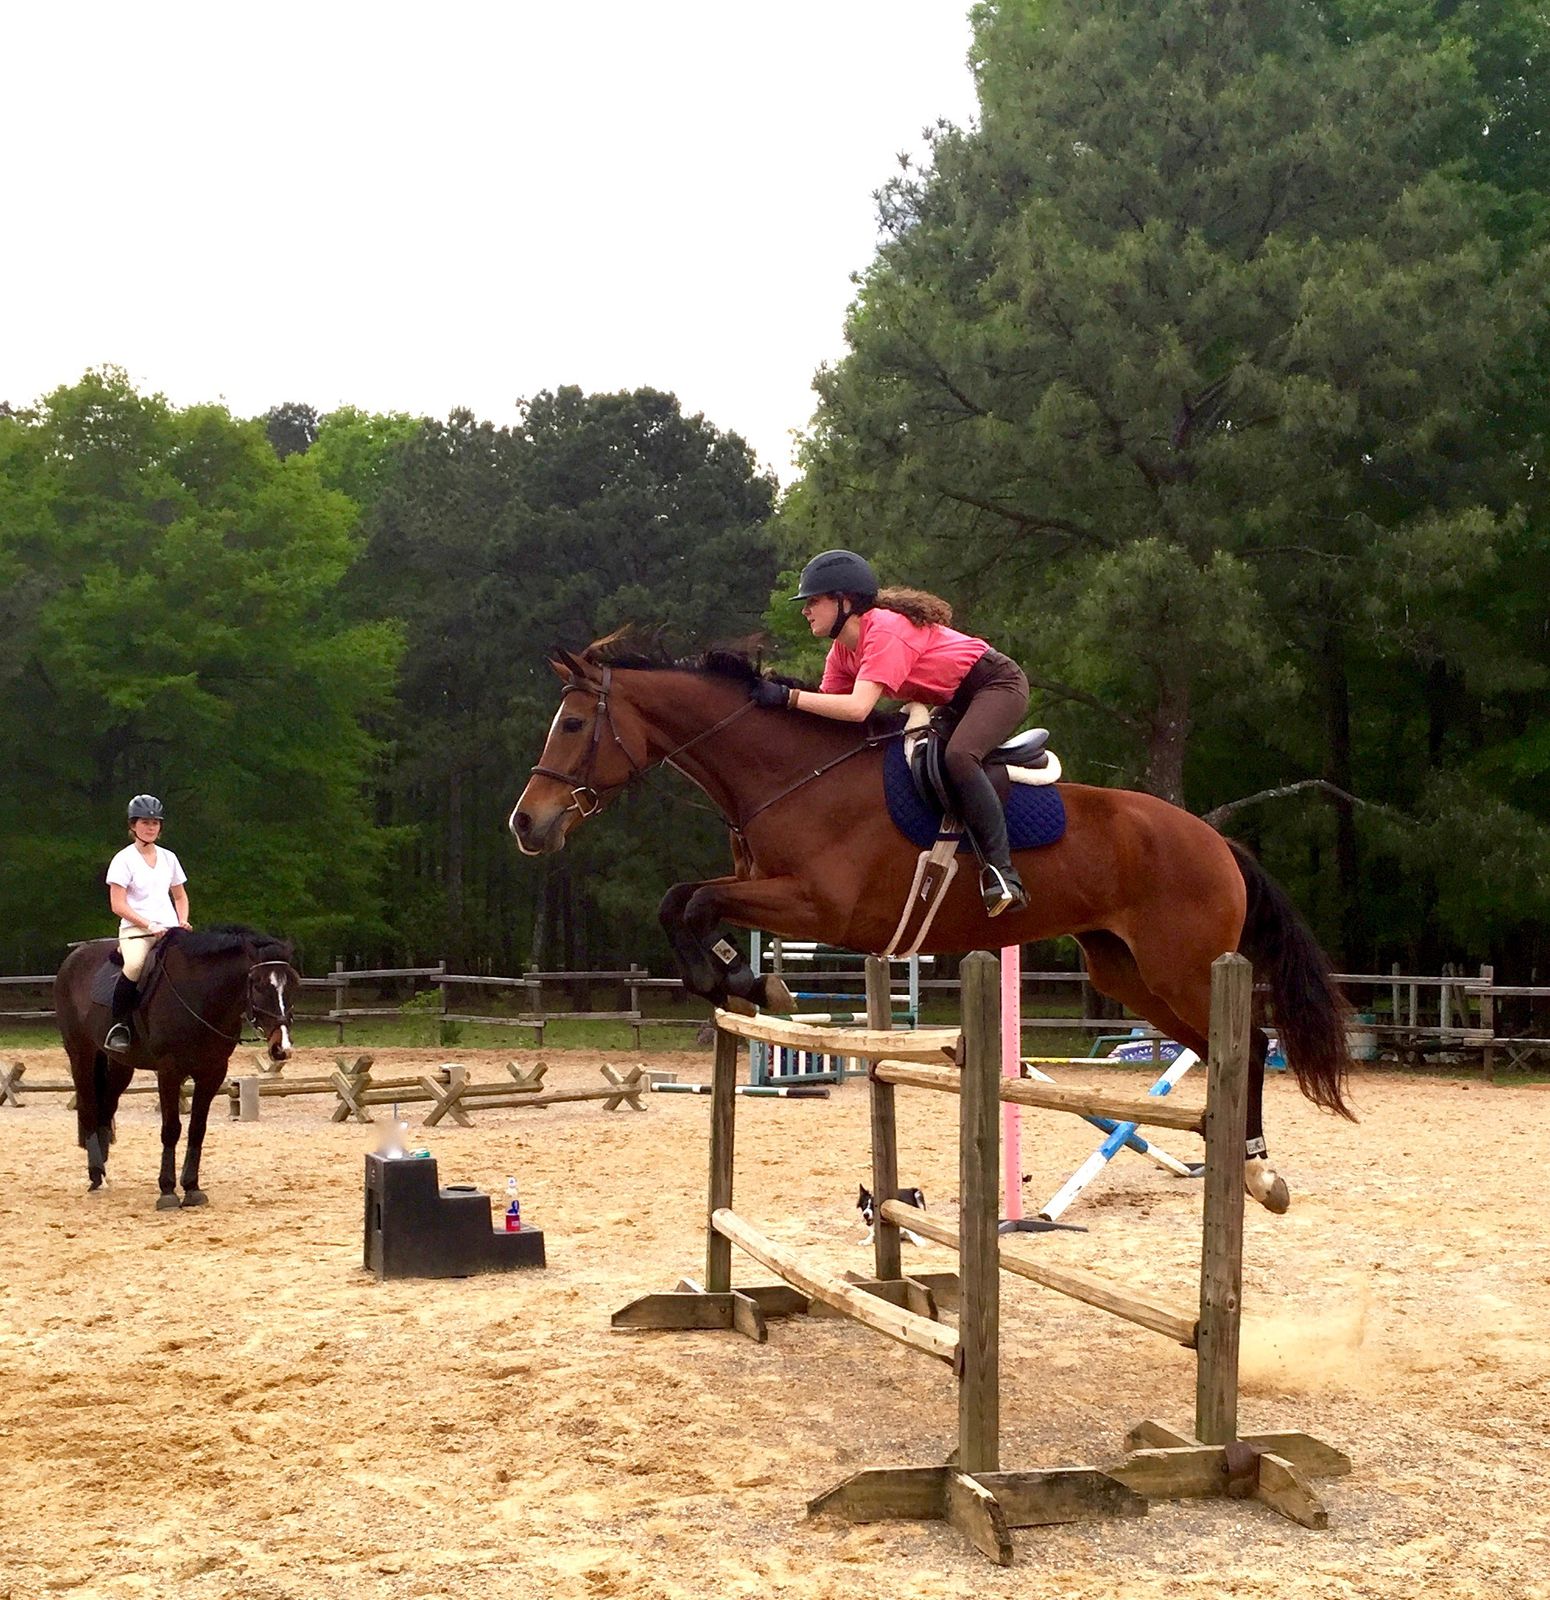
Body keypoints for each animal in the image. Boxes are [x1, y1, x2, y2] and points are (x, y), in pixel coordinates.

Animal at [54, 924, 298, 1208]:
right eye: (258, 985)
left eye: (293, 984)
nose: (281, 1047)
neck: (200, 996)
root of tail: (74, 958)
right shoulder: (169, 1071)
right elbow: (171, 1129)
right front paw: (168, 1191)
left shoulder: (213, 1072)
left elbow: (197, 1129)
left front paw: (192, 1188)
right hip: (81, 1053)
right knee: (89, 1107)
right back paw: (96, 1175)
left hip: (119, 1065)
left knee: (106, 1107)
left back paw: (102, 1172)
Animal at [509, 637, 1356, 1215]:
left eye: (574, 724)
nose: (526, 824)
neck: (790, 775)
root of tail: (1215, 841)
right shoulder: (764, 890)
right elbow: (681, 901)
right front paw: (739, 980)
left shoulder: (819, 904)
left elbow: (689, 902)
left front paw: (747, 980)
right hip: (1127, 972)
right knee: (1216, 1050)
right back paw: (1234, 1158)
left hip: (1180, 965)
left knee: (1250, 1043)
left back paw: (1258, 1169)